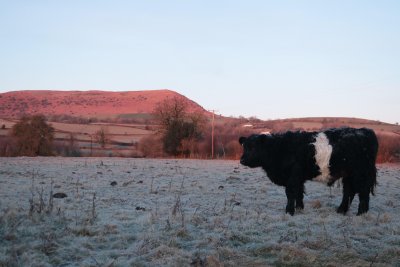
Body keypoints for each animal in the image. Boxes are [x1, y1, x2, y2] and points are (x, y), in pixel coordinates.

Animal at [239, 127, 380, 216]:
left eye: (253, 147)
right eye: (244, 146)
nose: (242, 160)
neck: (279, 148)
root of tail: (364, 130)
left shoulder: (292, 177)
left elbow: (290, 193)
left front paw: (289, 211)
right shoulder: (298, 178)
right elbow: (299, 193)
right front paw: (299, 209)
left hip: (361, 173)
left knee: (363, 192)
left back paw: (361, 214)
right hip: (348, 175)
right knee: (348, 191)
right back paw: (341, 210)